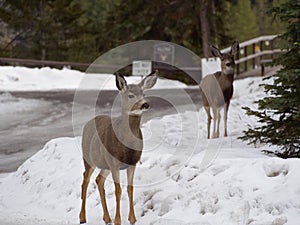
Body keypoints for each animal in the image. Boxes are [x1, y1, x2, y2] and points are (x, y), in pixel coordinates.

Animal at [79, 69, 158, 224]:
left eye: (144, 94)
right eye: (131, 95)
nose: (145, 104)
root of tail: (88, 123)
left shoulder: (132, 163)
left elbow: (130, 189)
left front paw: (132, 219)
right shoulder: (114, 162)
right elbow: (118, 190)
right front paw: (118, 220)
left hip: (104, 164)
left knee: (99, 180)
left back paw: (106, 217)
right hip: (89, 159)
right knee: (85, 180)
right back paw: (82, 217)